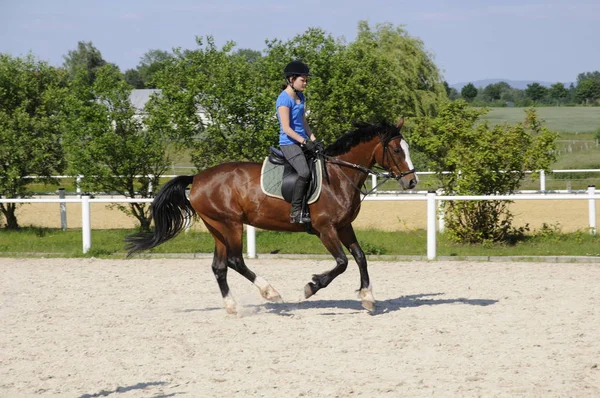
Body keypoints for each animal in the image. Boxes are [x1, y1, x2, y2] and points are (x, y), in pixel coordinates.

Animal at [125, 118, 418, 314]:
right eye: (396, 150)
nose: (412, 182)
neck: (338, 175)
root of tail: (197, 178)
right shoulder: (325, 229)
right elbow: (342, 262)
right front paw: (311, 286)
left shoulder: (344, 226)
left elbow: (360, 257)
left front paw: (367, 297)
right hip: (231, 224)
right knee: (235, 261)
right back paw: (271, 293)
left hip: (217, 227)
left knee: (220, 267)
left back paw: (232, 306)